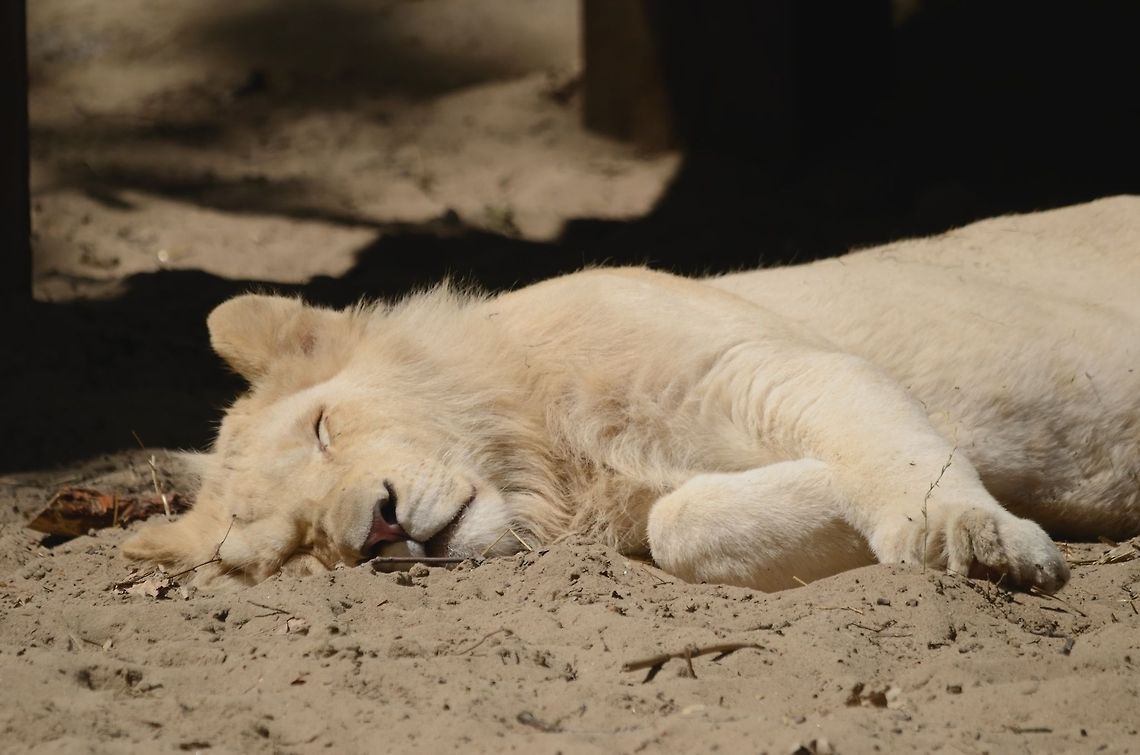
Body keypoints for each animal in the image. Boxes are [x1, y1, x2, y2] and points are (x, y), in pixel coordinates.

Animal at [124, 196, 1140, 592]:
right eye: (298, 546)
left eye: (325, 428)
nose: (376, 526)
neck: (551, 456)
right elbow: (680, 524)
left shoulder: (779, 365)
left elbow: (900, 453)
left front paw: (979, 537)